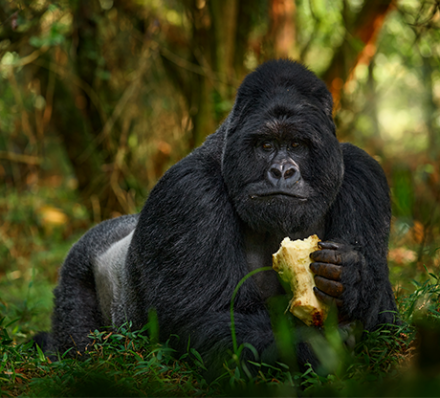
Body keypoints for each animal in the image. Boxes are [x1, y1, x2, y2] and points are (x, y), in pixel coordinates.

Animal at [37, 59, 396, 376]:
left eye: (297, 144)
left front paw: (352, 277)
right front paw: (312, 348)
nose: (282, 171)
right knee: (79, 341)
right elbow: (208, 319)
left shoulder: (364, 175)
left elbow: (385, 319)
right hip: (75, 272)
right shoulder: (188, 192)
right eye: (266, 146)